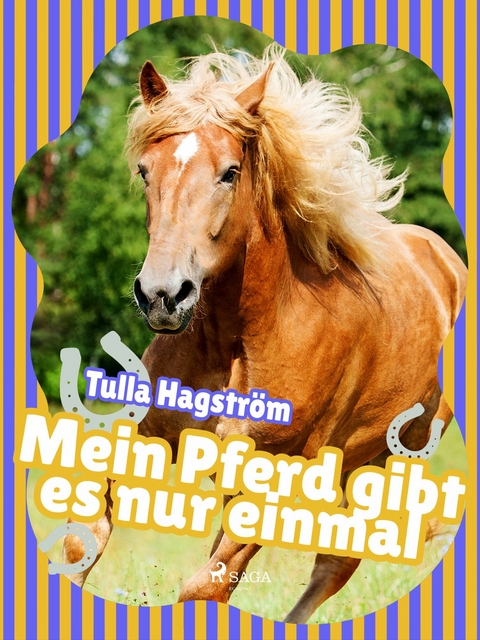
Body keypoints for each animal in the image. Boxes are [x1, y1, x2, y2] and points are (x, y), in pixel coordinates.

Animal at [63, 46, 467, 623]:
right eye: (145, 171)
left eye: (230, 173)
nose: (162, 294)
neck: (238, 341)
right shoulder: (150, 437)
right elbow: (85, 540)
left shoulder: (272, 479)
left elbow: (204, 590)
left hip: (388, 462)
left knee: (338, 561)